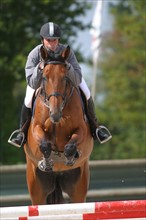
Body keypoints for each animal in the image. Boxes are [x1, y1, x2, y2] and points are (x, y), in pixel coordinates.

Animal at [23, 45, 93, 205]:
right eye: (44, 77)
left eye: (65, 78)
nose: (54, 114)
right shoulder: (36, 128)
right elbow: (44, 144)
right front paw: (47, 162)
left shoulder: (82, 129)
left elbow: (70, 146)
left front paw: (71, 156)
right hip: (36, 186)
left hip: (78, 186)